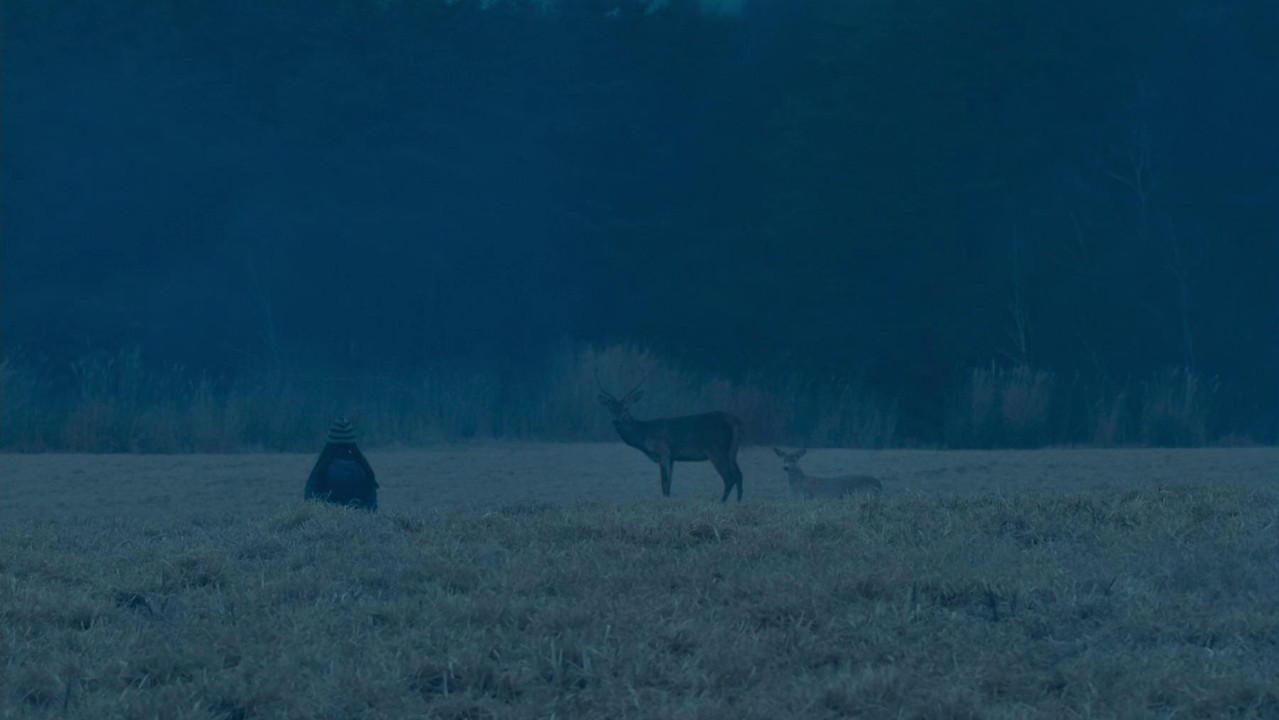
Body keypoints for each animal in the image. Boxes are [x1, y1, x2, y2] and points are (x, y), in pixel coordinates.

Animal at [596, 369, 746, 502]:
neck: (644, 434)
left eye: (626, 408)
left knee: (729, 476)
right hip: (732, 451)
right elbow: (669, 484)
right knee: (739, 474)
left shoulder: (663, 451)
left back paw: (722, 502)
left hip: (716, 449)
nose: (616, 421)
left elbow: (664, 483)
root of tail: (735, 421)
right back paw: (738, 501)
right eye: (610, 408)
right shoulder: (672, 457)